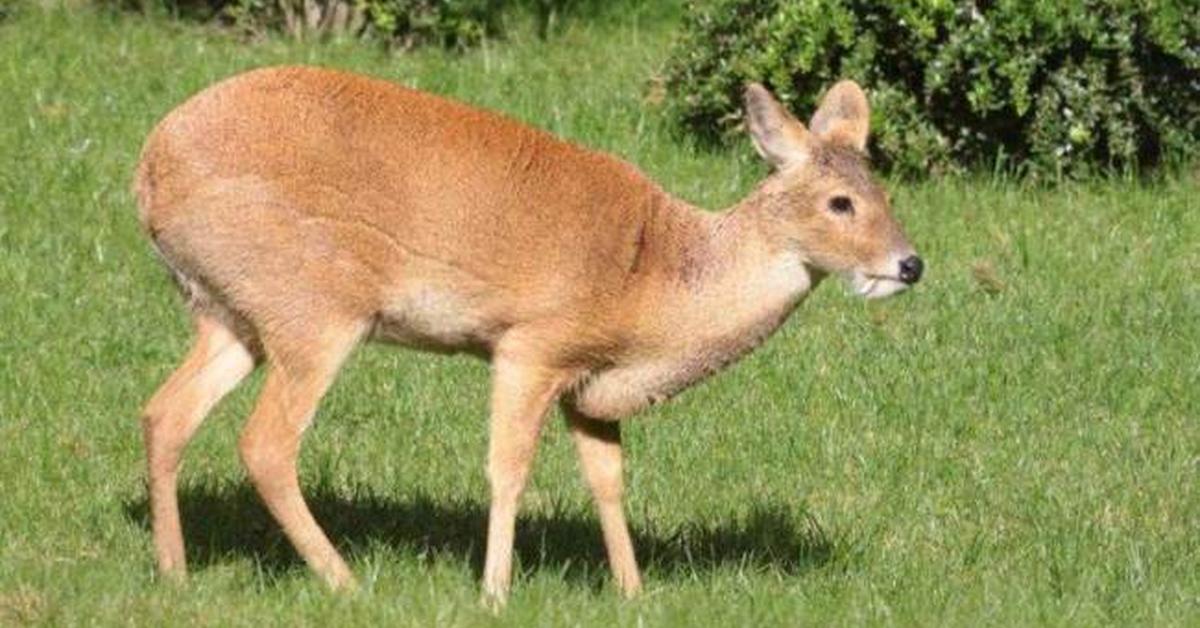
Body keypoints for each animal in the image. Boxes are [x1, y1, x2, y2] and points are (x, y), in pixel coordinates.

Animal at [131, 65, 916, 605]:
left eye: (884, 192)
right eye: (839, 203)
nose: (910, 264)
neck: (657, 276)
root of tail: (148, 172)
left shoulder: (586, 379)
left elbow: (608, 479)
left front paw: (632, 591)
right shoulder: (530, 344)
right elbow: (507, 469)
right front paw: (494, 592)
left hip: (231, 314)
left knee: (166, 412)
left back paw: (175, 573)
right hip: (314, 308)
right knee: (265, 442)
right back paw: (346, 582)